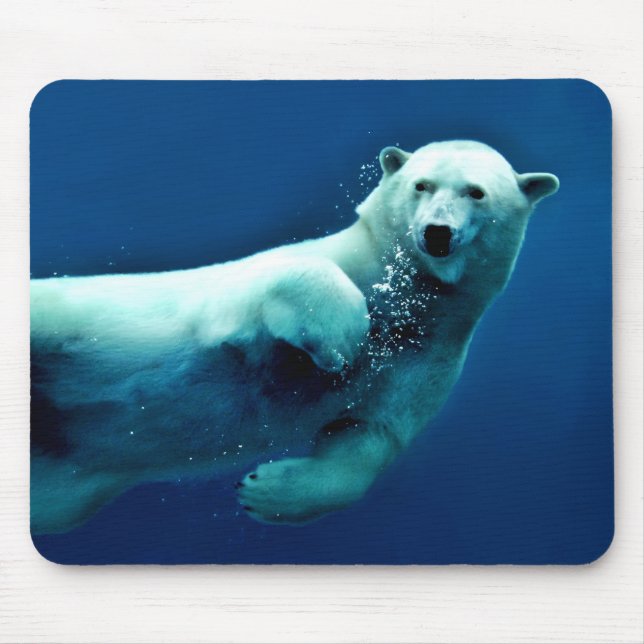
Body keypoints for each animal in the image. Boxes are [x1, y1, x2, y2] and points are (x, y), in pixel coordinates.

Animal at [30, 140, 559, 534]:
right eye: (421, 185)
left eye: (476, 193)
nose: (437, 232)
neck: (406, 300)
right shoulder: (244, 290)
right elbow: (270, 288)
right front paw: (344, 340)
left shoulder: (429, 356)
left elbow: (368, 437)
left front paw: (262, 491)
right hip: (57, 319)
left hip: (65, 484)